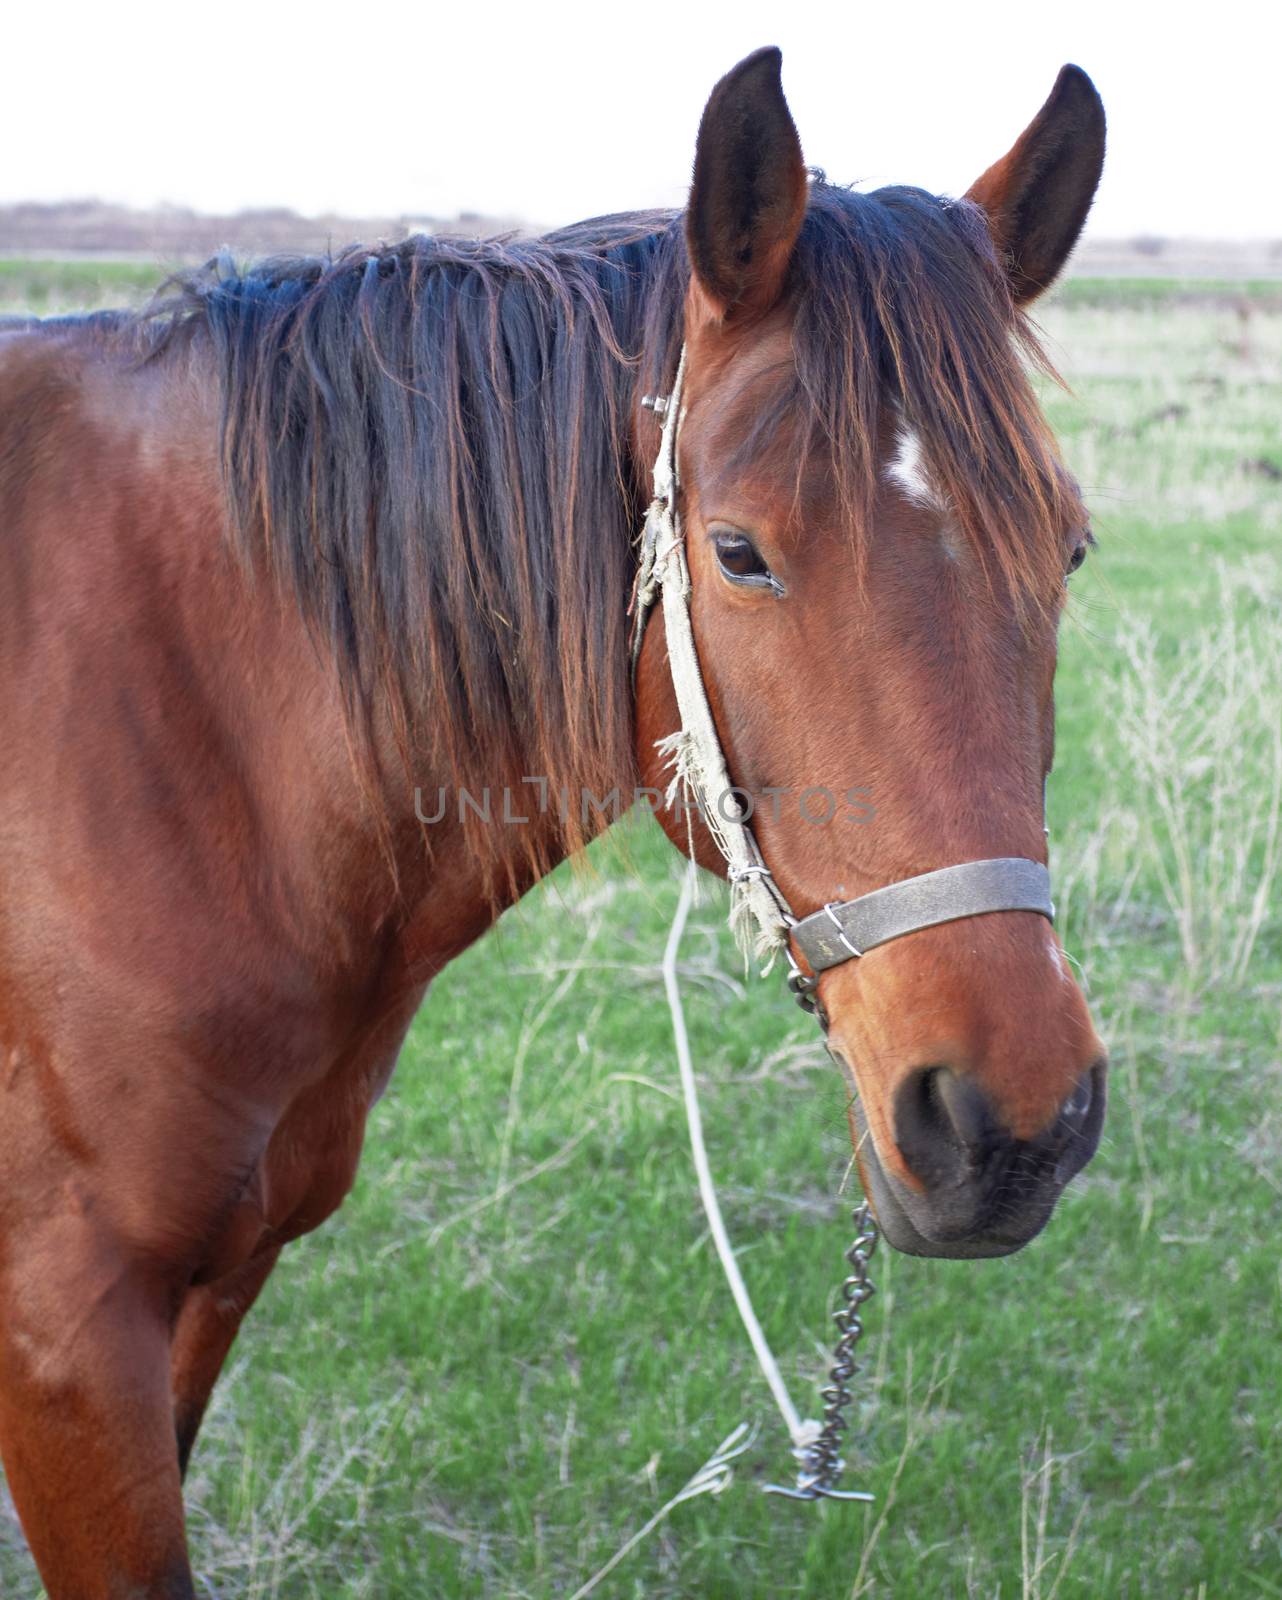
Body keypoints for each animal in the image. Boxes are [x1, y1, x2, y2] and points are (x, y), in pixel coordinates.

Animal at [0, 50, 1101, 1600]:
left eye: (1068, 547)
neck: (169, 719)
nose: (1012, 1123)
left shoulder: (208, 1291)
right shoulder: (64, 1333)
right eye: (738, 552)